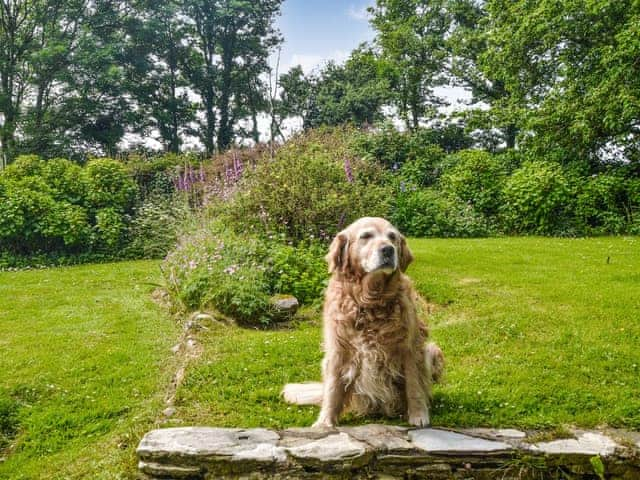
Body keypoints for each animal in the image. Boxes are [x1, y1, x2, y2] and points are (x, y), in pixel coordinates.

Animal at [284, 218, 444, 428]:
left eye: (392, 237)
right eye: (366, 236)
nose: (388, 249)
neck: (370, 301)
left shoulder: (410, 347)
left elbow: (414, 385)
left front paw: (418, 415)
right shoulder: (338, 349)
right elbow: (333, 388)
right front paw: (325, 421)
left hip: (432, 349)